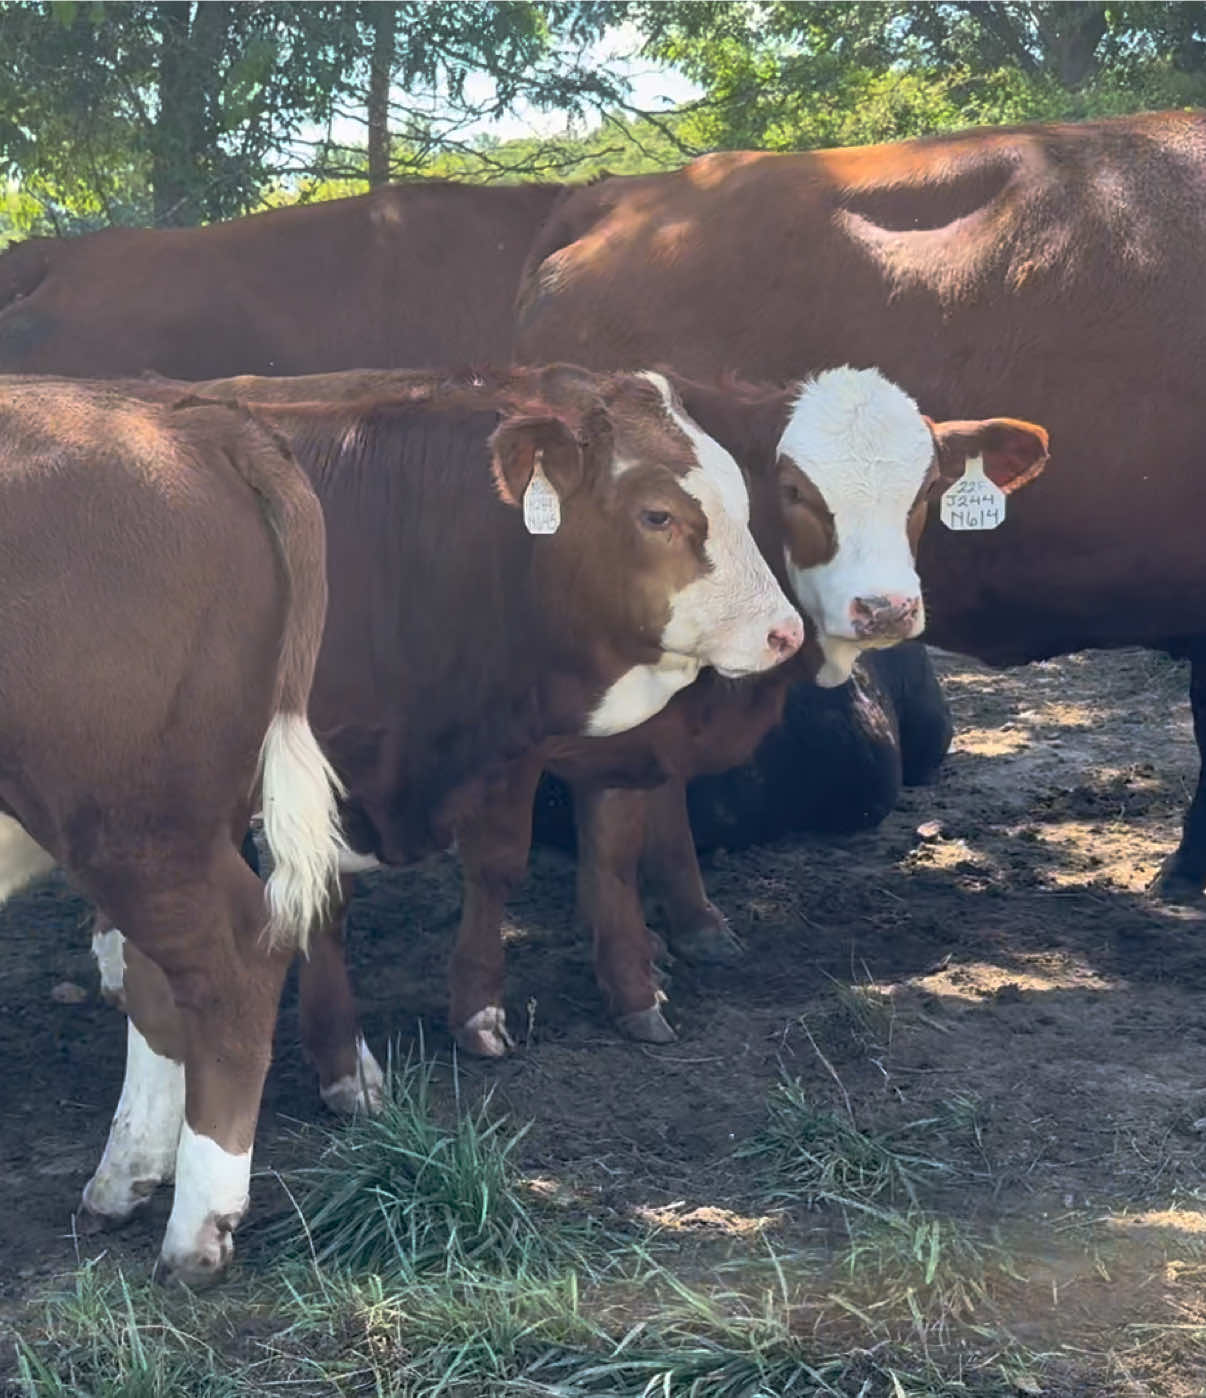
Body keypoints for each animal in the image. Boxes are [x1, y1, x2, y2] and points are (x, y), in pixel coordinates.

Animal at [0, 378, 343, 1286]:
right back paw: (125, 1178)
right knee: (158, 978)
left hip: (128, 813)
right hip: (176, 814)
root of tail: (181, 419)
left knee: (234, 962)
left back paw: (197, 1230)